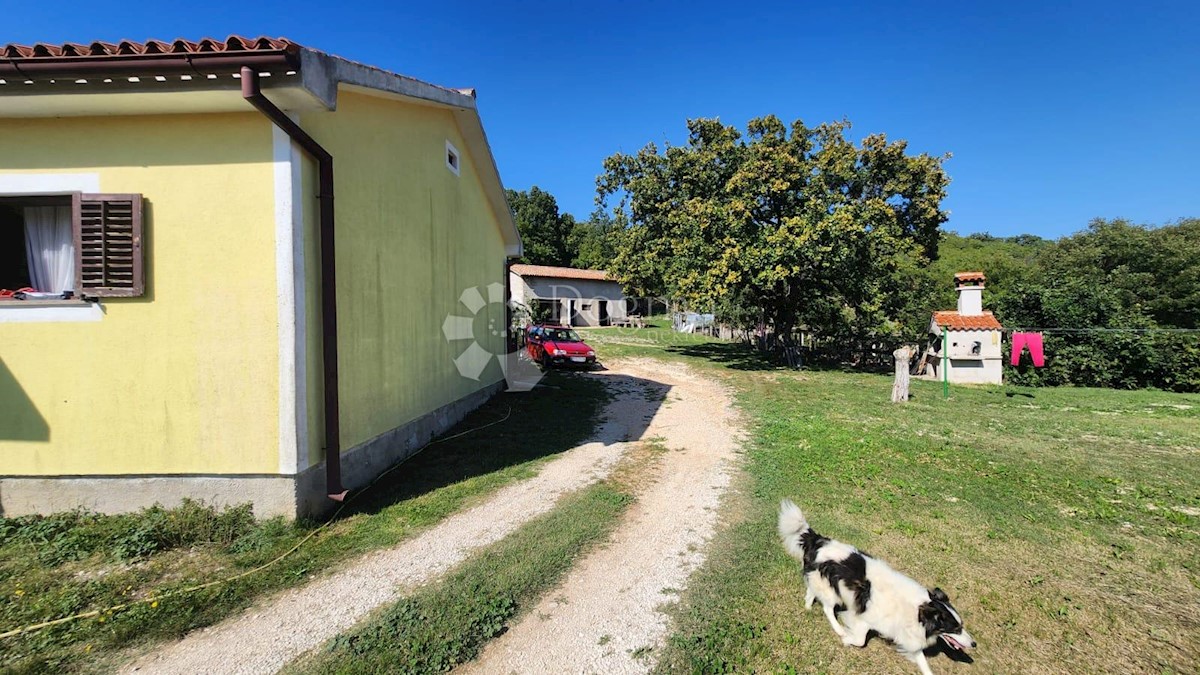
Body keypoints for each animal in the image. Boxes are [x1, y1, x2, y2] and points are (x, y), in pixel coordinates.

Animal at [777, 497, 974, 667]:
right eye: (955, 628)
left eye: (961, 626)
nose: (974, 644)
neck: (917, 611)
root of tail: (817, 540)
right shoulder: (865, 618)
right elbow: (860, 640)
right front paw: (846, 638)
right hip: (831, 590)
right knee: (827, 608)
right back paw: (838, 629)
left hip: (822, 582)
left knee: (811, 590)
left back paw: (808, 606)